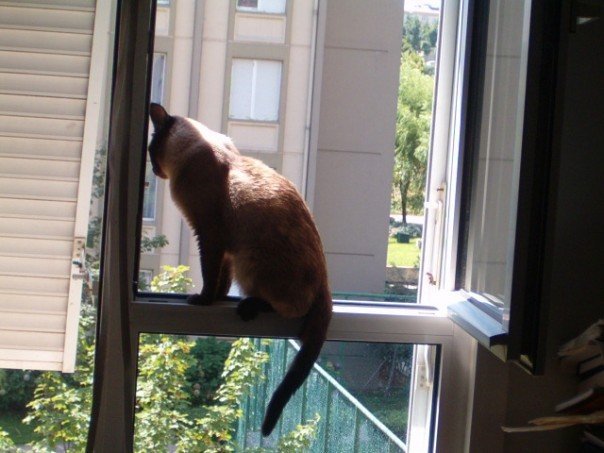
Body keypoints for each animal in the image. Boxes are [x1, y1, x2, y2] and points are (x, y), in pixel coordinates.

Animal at [148, 103, 333, 436]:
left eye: (150, 149)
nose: (153, 169)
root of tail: (327, 281)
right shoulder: (225, 251)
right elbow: (221, 280)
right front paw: (217, 299)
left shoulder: (208, 236)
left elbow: (210, 276)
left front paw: (202, 300)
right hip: (243, 259)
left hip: (251, 262)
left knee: (289, 308)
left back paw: (250, 305)